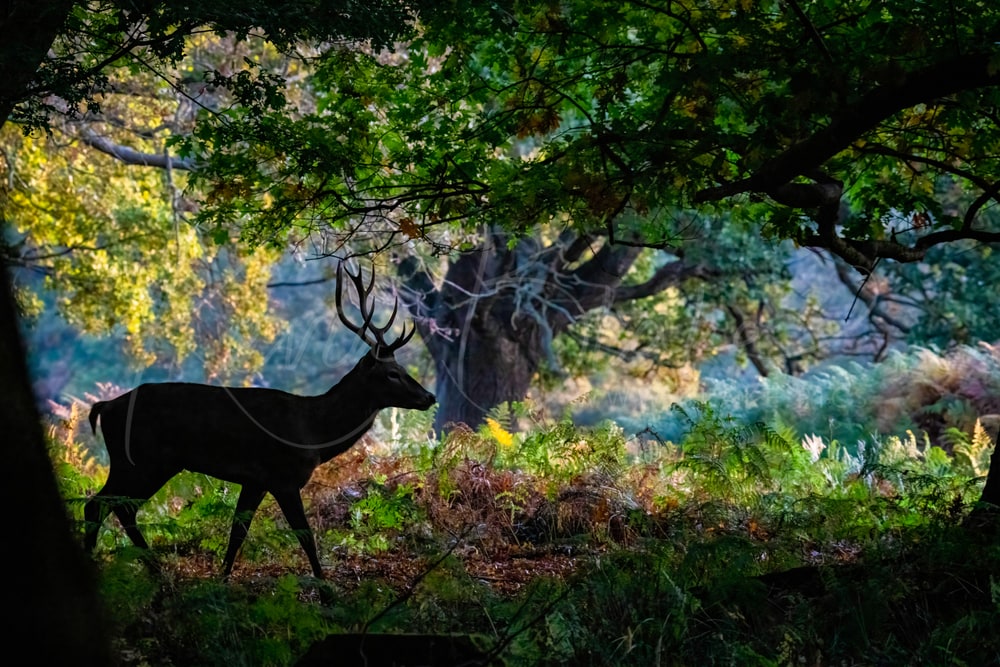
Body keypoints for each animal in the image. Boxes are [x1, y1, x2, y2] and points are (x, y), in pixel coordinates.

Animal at [84, 262, 435, 579]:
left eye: (403, 368)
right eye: (392, 373)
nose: (429, 396)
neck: (314, 431)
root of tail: (105, 407)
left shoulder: (255, 481)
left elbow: (237, 532)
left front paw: (221, 581)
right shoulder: (284, 477)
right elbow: (305, 536)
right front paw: (326, 592)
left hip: (142, 462)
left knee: (114, 506)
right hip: (142, 459)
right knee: (103, 504)